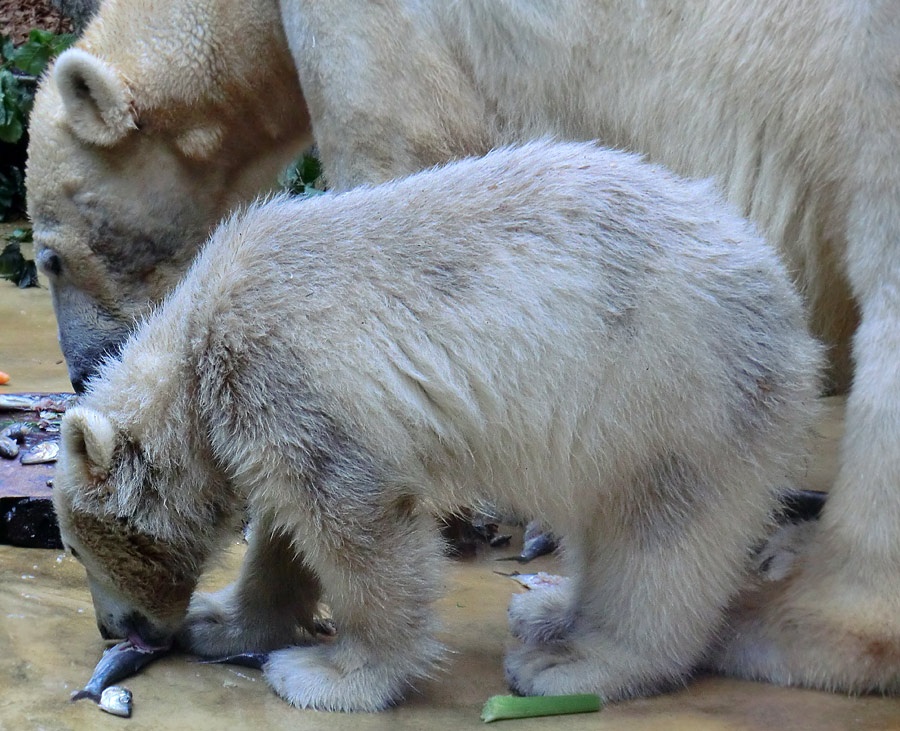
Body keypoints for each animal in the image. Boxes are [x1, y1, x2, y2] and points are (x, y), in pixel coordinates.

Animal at [26, 0, 900, 696]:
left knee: (662, 535)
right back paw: (548, 606)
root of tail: (783, 309)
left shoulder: (284, 369)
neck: (199, 331)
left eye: (71, 542)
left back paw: (580, 657)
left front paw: (334, 673)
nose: (114, 631)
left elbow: (358, 523)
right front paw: (226, 618)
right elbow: (286, 523)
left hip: (676, 385)